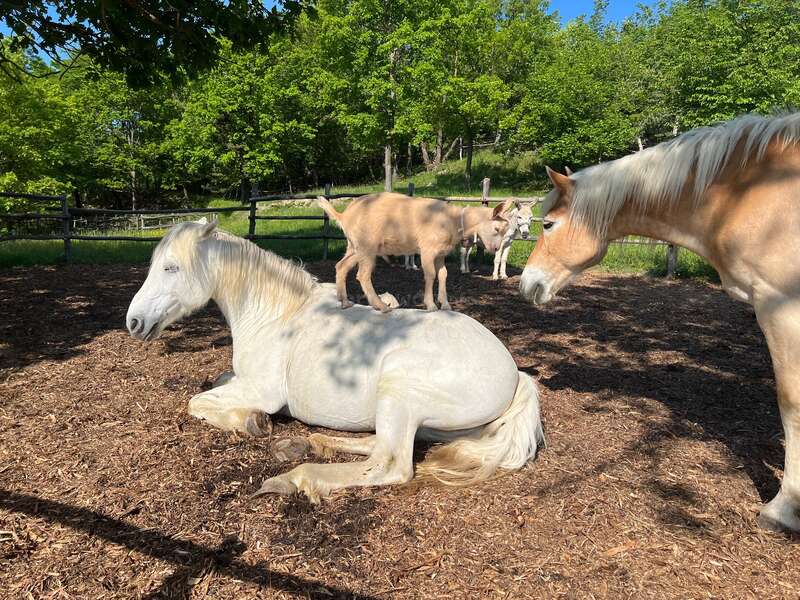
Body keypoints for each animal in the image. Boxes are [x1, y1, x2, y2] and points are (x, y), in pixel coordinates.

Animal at [126, 220, 544, 501]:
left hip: (399, 392)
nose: (134, 322)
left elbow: (196, 402)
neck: (276, 316)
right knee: (377, 444)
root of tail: (515, 373)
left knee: (391, 464)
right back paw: (311, 442)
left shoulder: (261, 391)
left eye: (171, 267)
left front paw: (251, 422)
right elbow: (214, 384)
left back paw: (295, 477)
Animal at [519, 112, 800, 532]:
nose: (525, 284)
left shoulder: (782, 308)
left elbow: (790, 402)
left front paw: (782, 508)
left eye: (548, 224)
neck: (744, 195)